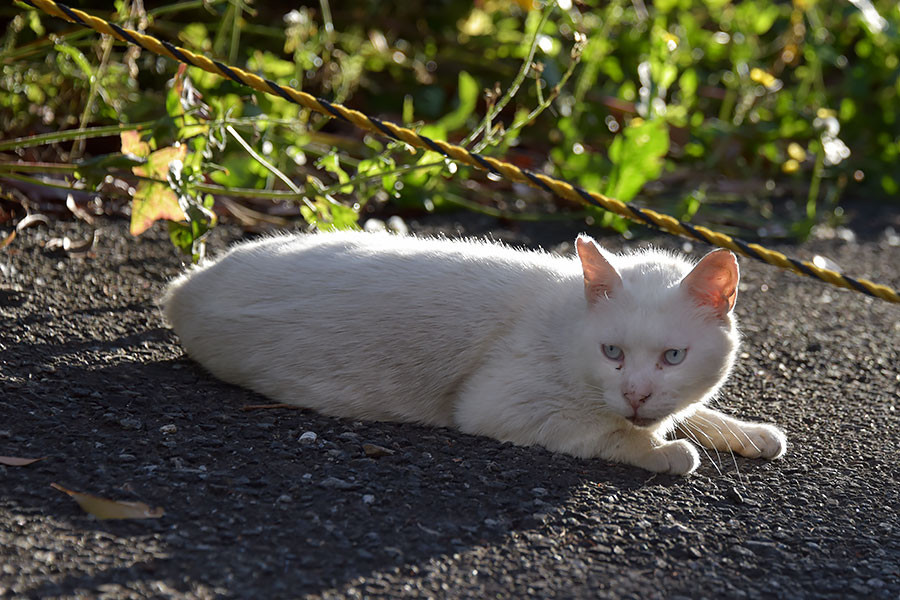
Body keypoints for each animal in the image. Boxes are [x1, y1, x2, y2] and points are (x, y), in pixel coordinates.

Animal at [163, 231, 788, 474]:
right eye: (611, 351)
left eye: (673, 358)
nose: (635, 392)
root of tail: (184, 284)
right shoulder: (502, 405)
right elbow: (610, 433)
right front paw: (667, 450)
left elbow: (691, 410)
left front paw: (747, 432)